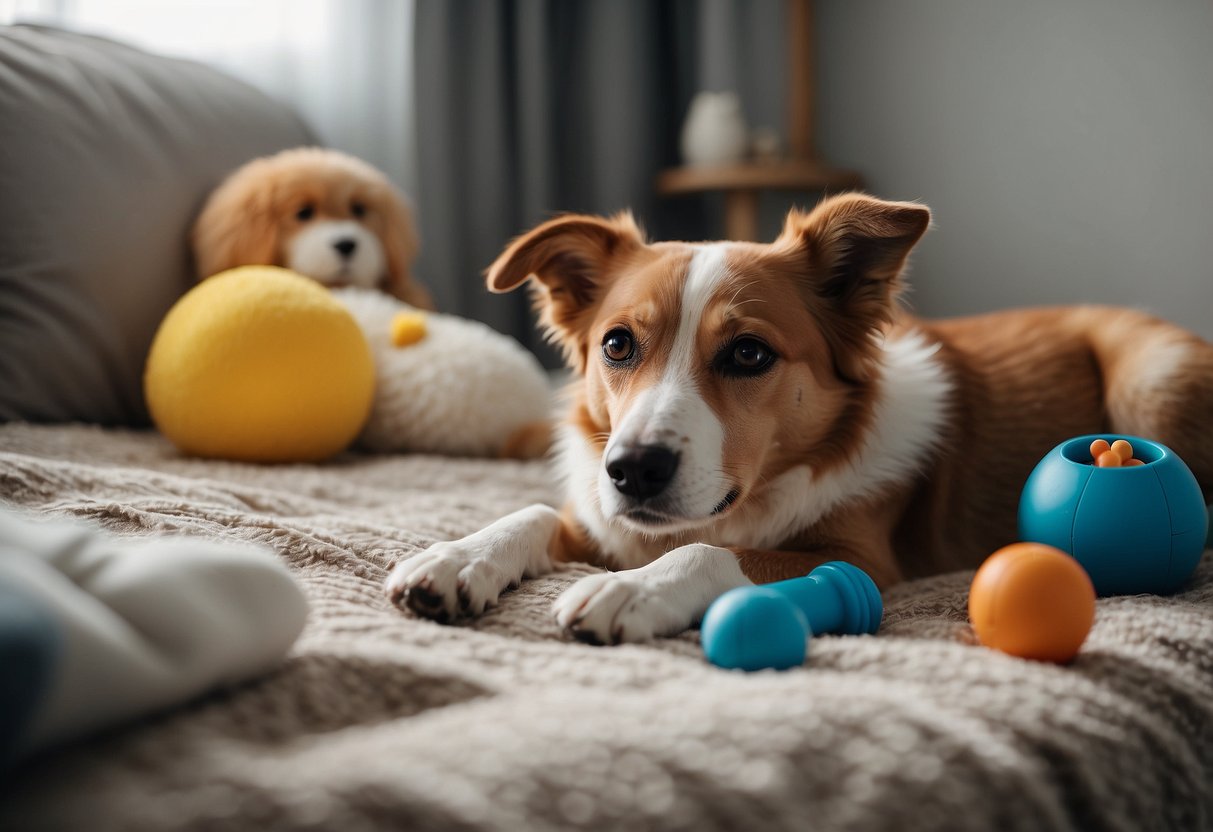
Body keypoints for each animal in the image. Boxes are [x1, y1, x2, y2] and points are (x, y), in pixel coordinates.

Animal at [385, 195, 1213, 645]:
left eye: (749, 354)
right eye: (617, 345)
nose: (633, 470)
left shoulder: (859, 557)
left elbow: (717, 551)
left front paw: (635, 592)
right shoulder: (606, 520)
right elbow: (531, 511)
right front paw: (455, 557)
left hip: (1152, 376)